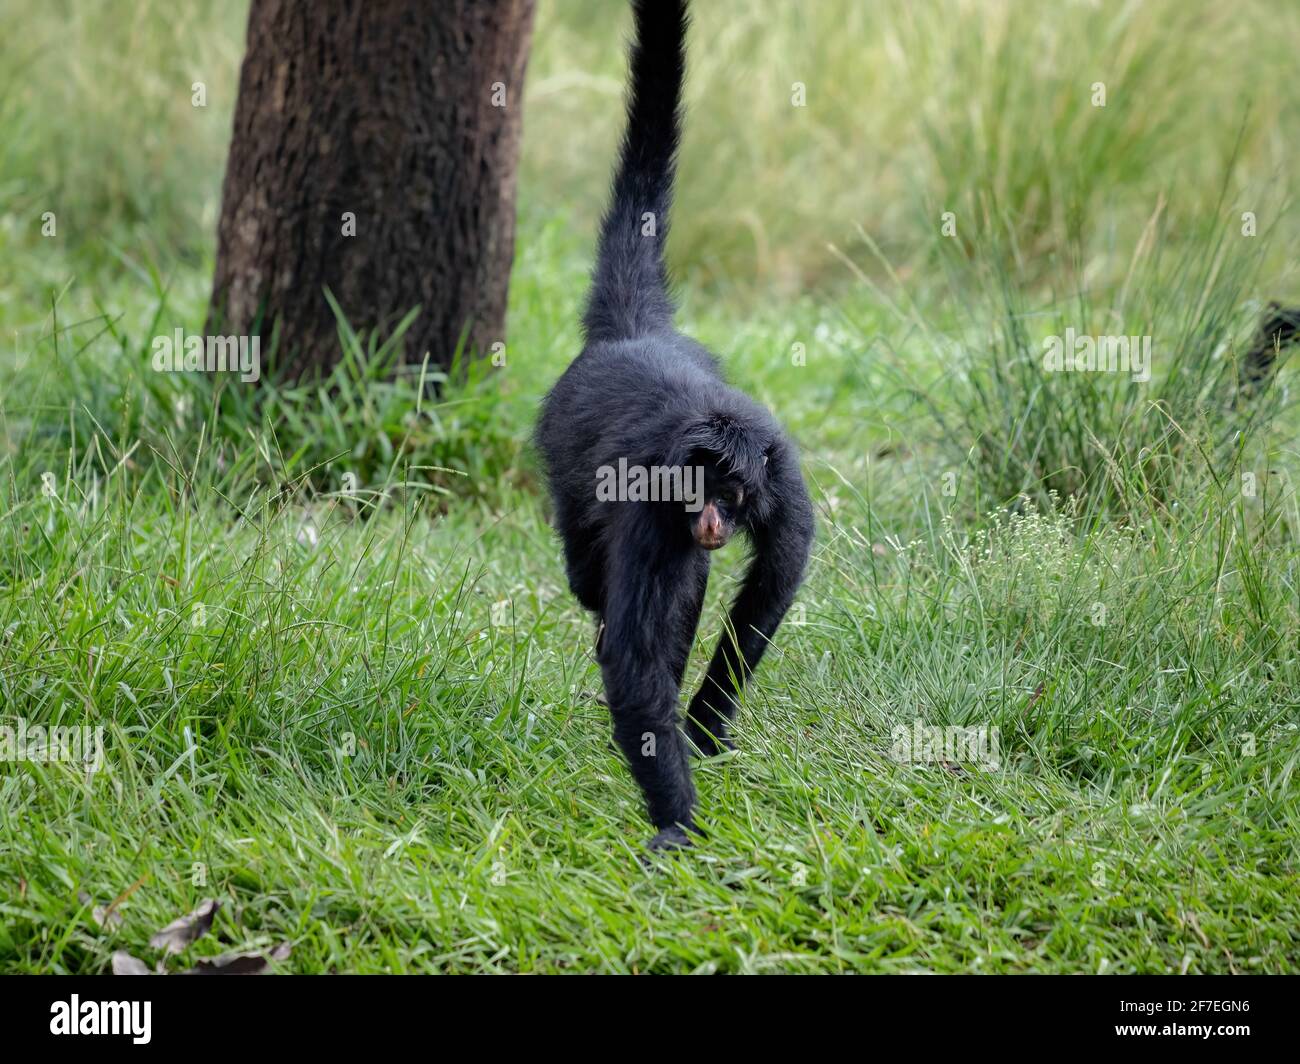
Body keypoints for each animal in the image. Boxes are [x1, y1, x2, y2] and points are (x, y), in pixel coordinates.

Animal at [535, 0, 814, 850]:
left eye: (729, 490)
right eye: (695, 492)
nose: (713, 520)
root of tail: (634, 337)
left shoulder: (780, 471)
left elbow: (775, 576)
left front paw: (706, 724)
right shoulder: (652, 506)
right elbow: (632, 655)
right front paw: (678, 824)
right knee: (592, 580)